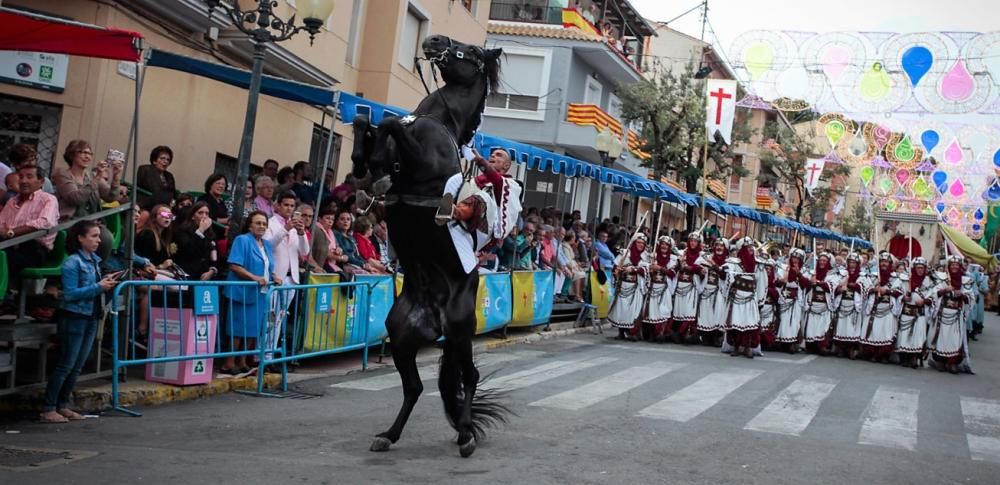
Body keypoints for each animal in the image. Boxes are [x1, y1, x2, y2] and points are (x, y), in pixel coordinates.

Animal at [352, 35, 508, 458]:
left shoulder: (422, 159)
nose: (436, 40)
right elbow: (366, 133)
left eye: (473, 52)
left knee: (469, 376)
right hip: (401, 335)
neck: (437, 120)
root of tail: (433, 318)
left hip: (459, 330)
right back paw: (389, 435)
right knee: (415, 387)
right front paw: (369, 164)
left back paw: (466, 434)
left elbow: (390, 123)